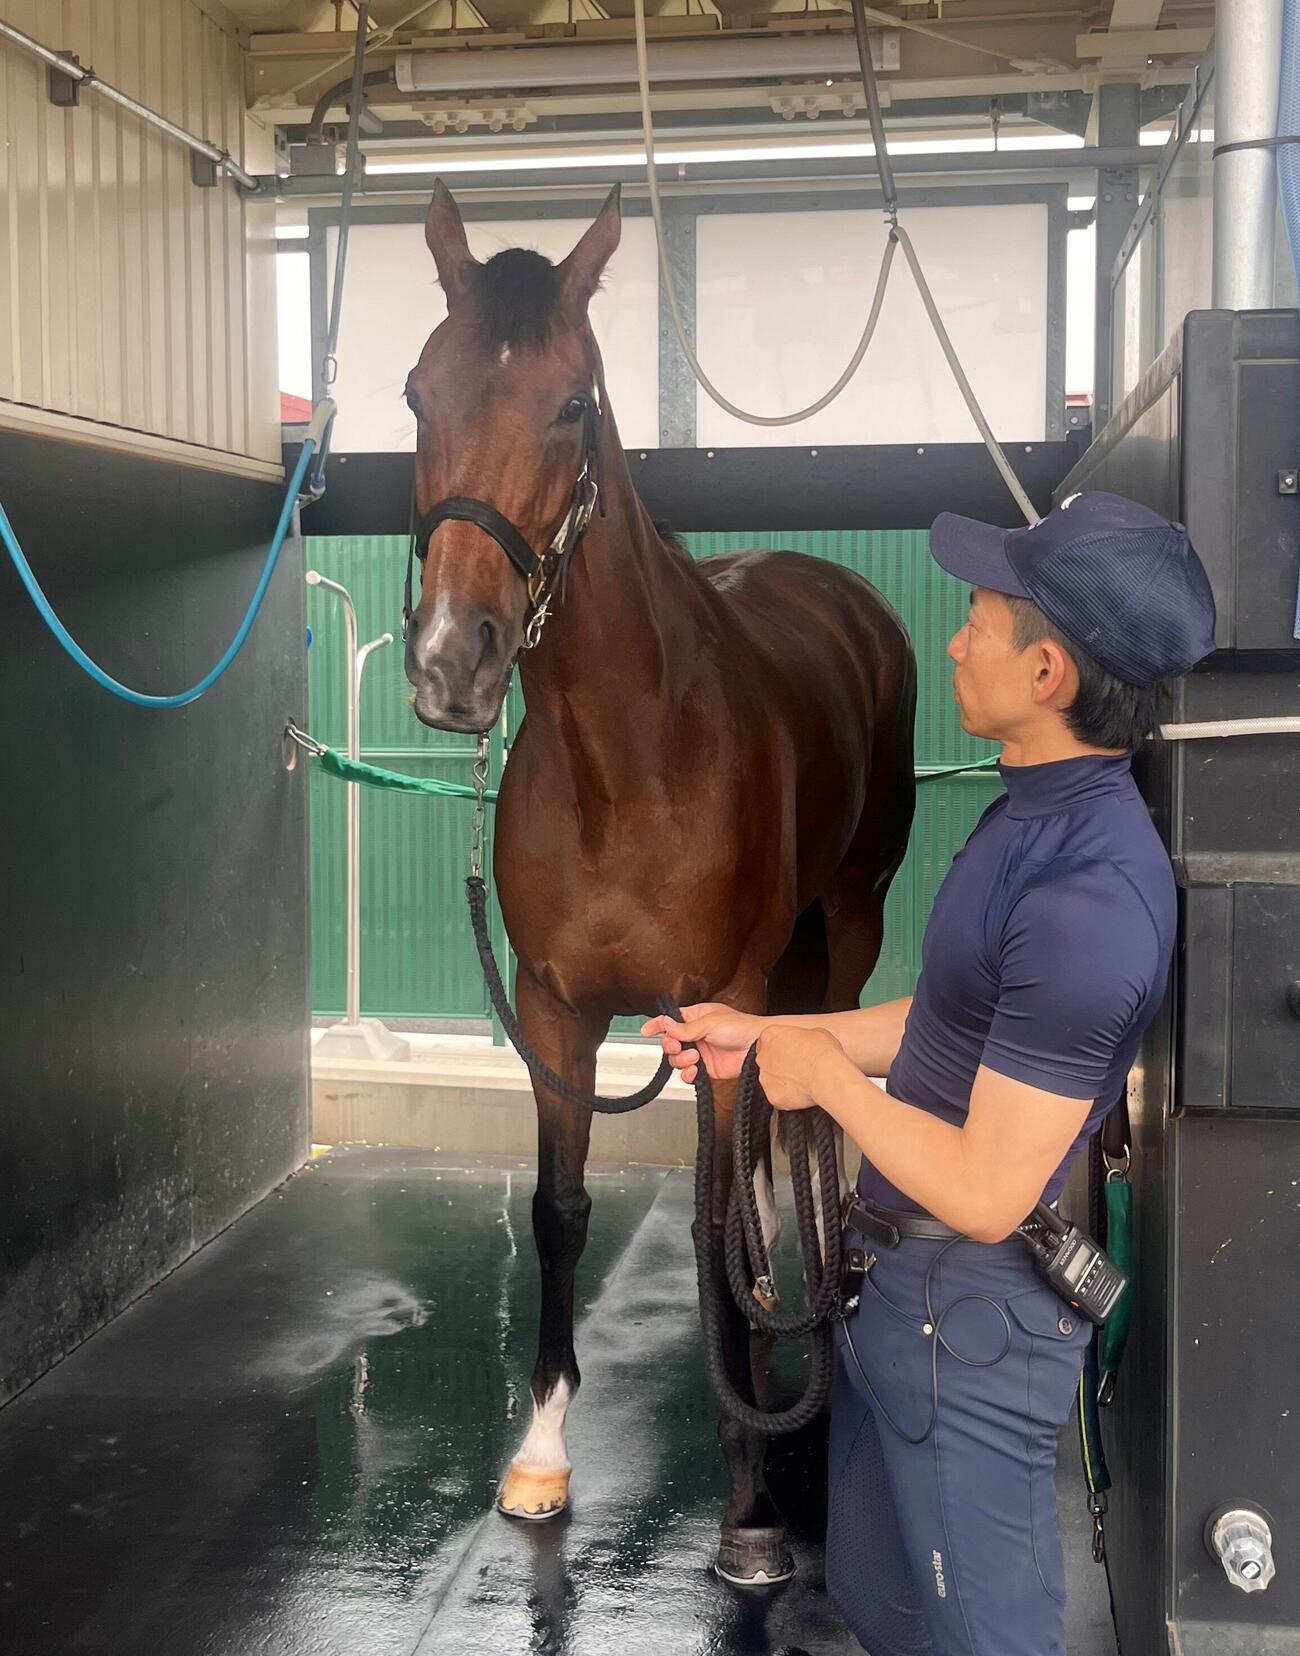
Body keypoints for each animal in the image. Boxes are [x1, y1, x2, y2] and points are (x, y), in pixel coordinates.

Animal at [402, 180, 917, 1585]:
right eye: (416, 393)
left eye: (573, 406)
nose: (451, 662)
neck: (626, 759)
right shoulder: (556, 1013)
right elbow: (563, 1210)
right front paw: (539, 1453)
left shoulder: (717, 1002)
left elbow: (700, 1221)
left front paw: (748, 1511)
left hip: (848, 922)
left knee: (809, 1114)